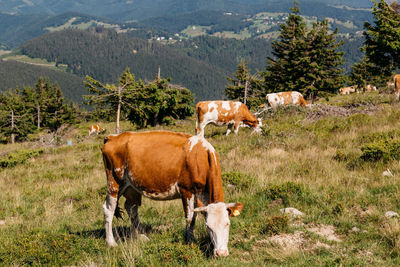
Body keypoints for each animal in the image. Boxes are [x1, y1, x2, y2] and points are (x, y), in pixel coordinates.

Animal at [101, 131, 242, 258]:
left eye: (228, 224)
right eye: (209, 227)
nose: (221, 253)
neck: (200, 157)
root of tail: (113, 137)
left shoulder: (200, 194)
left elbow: (195, 215)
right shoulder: (186, 190)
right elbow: (190, 217)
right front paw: (190, 240)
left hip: (132, 187)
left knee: (131, 208)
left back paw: (140, 235)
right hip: (114, 182)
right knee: (108, 209)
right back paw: (111, 242)